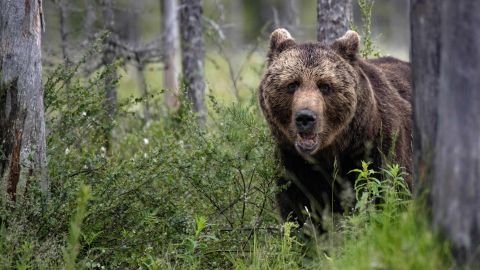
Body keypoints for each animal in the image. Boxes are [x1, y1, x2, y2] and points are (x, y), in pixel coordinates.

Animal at [258, 29, 412, 228]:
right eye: (292, 84)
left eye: (325, 85)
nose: (305, 117)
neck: (331, 151)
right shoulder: (294, 164)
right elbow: (298, 211)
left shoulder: (378, 149)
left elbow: (384, 196)